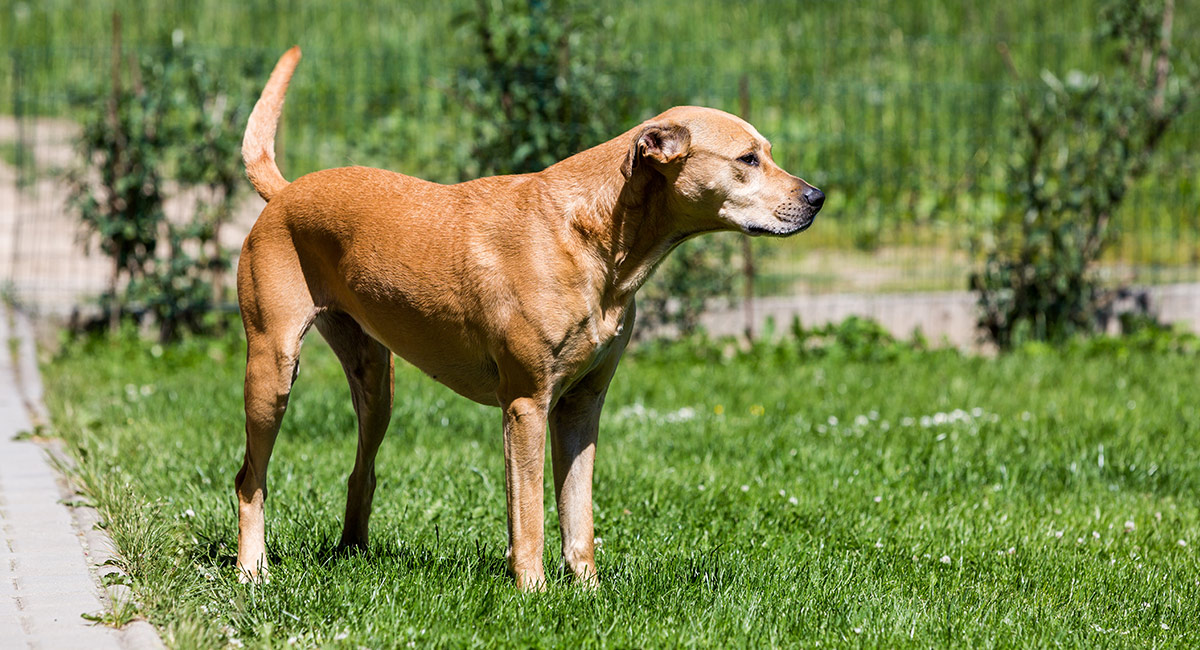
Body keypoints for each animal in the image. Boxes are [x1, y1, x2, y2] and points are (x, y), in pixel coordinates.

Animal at [231, 48, 825, 594]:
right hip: (272, 372)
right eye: (747, 159)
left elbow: (578, 516)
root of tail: (285, 193)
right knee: (249, 478)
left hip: (376, 383)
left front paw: (587, 590)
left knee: (362, 471)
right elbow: (532, 515)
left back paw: (352, 554)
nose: (817, 197)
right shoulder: (526, 405)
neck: (595, 235)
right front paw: (533, 594)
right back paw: (252, 570)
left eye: (768, 153)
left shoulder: (582, 406)